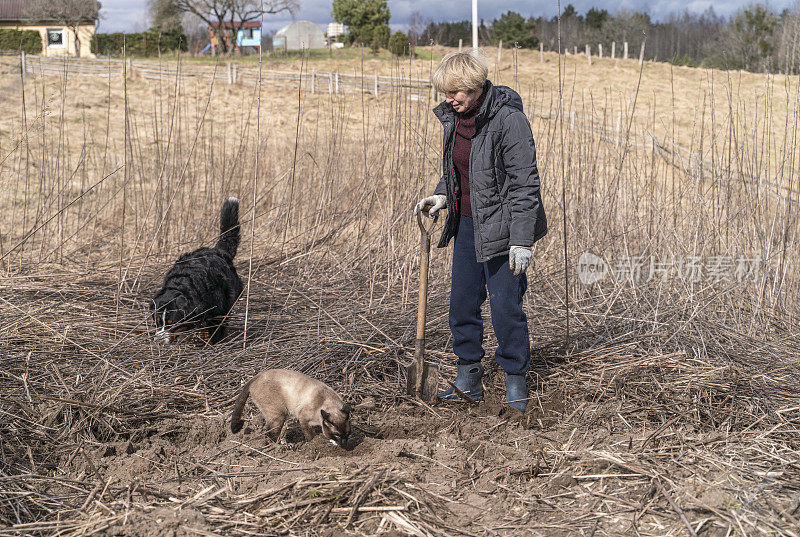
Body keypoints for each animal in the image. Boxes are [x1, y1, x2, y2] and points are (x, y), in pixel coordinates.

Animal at [152, 197, 242, 344]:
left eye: (172, 323)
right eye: (158, 321)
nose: (158, 340)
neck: (182, 286)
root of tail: (218, 251)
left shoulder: (217, 310)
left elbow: (215, 332)